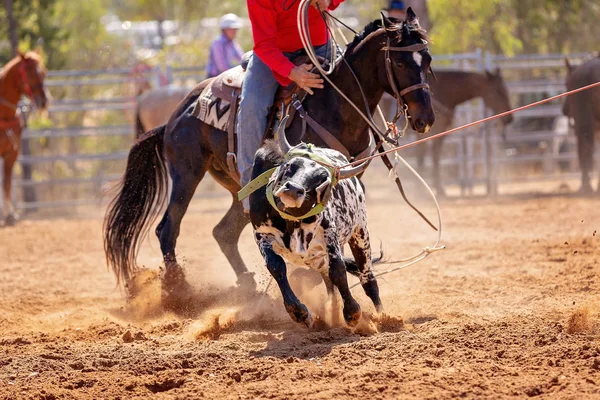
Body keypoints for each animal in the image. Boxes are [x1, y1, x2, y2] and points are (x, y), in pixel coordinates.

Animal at [0, 50, 49, 225]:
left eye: (44, 73)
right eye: (29, 73)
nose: (43, 101)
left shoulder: (12, 153)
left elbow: (6, 183)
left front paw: (9, 215)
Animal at [104, 10, 436, 304]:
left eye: (428, 60)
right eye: (400, 61)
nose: (425, 119)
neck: (334, 104)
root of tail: (176, 115)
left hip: (240, 190)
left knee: (223, 232)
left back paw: (249, 287)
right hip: (186, 174)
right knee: (168, 229)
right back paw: (179, 291)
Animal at [247, 120, 380, 326]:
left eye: (321, 178)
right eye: (290, 166)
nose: (293, 190)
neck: (291, 221)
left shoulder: (330, 236)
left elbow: (338, 269)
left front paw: (352, 312)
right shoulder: (262, 234)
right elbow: (276, 266)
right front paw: (299, 312)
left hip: (360, 233)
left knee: (368, 278)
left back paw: (383, 316)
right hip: (317, 257)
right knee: (329, 284)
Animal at [412, 69, 516, 197]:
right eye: (498, 91)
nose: (510, 118)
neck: (442, 89)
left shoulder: (441, 131)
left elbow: (433, 156)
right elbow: (425, 156)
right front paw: (425, 189)